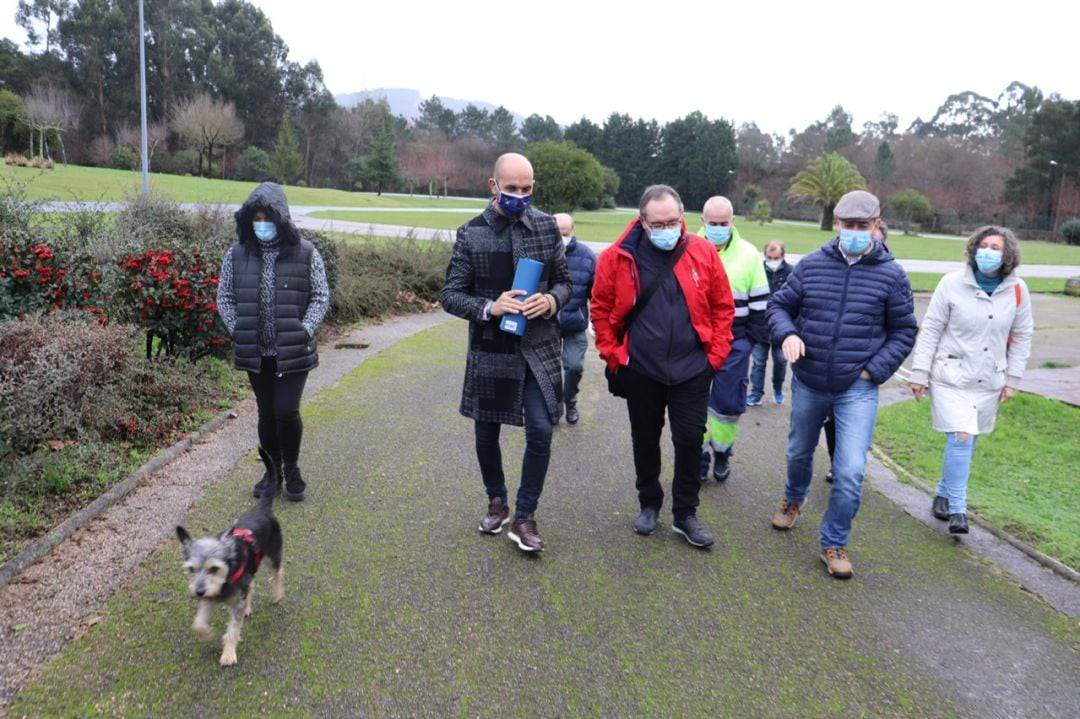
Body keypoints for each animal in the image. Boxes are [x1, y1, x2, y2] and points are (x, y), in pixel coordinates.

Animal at [173, 444, 282, 665]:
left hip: (273, 553)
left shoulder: (233, 601)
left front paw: (229, 653)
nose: (198, 592)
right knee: (252, 584)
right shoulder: (210, 597)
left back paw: (277, 594)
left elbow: (232, 630)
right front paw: (207, 634)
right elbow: (198, 623)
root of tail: (262, 508)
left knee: (278, 572)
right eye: (191, 569)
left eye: (214, 568)